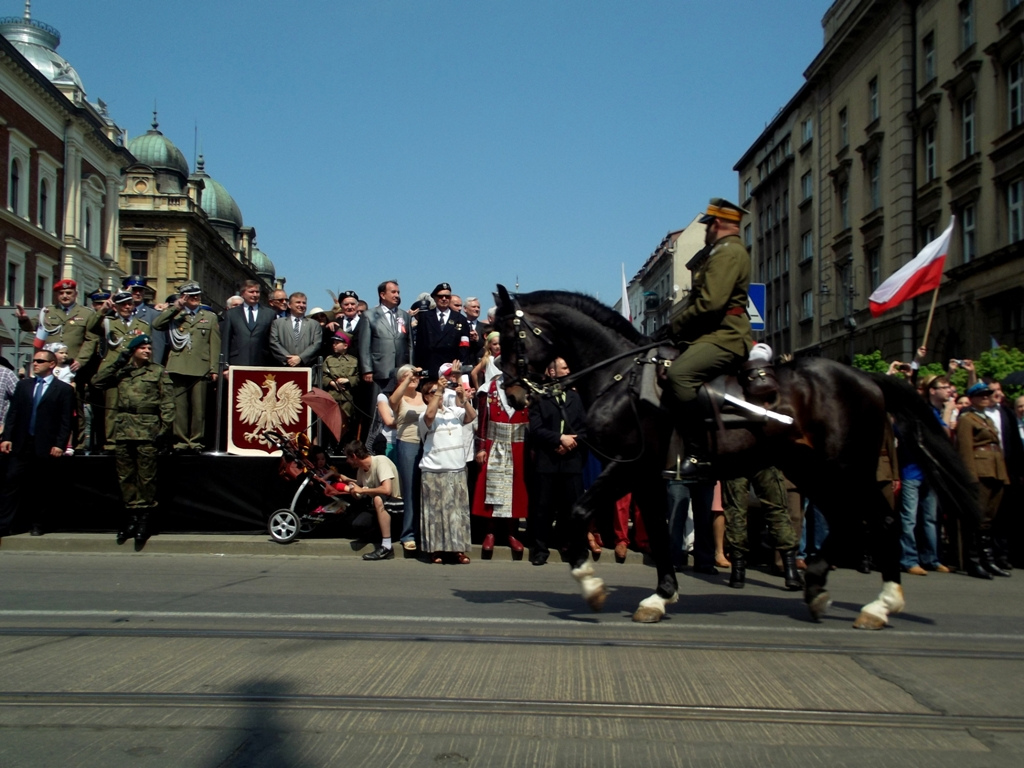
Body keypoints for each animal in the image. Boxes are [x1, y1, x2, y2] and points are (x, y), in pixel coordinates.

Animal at [491, 286, 978, 626]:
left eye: (513, 335)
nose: (513, 394)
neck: (620, 373)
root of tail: (866, 377)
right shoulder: (645, 474)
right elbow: (660, 534)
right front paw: (661, 595)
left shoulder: (628, 466)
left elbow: (577, 512)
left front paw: (591, 584)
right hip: (813, 468)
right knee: (849, 521)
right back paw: (818, 584)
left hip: (845, 468)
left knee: (880, 520)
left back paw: (879, 604)